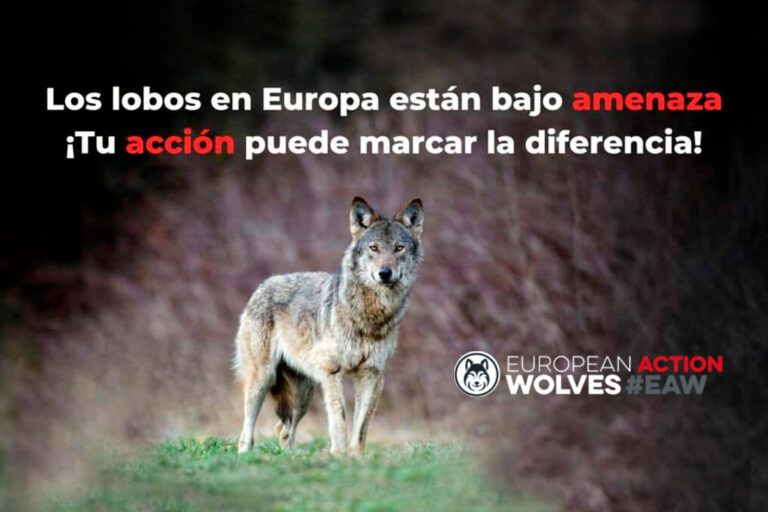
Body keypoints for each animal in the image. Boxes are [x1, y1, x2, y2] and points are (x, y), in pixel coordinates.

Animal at [233, 197, 424, 456]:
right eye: (374, 248)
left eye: (398, 248)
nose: (385, 273)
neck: (369, 314)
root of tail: (263, 284)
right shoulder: (331, 372)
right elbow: (340, 418)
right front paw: (338, 455)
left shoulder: (372, 375)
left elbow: (361, 427)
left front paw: (356, 457)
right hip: (263, 379)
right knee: (247, 432)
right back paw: (245, 456)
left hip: (305, 393)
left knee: (283, 429)